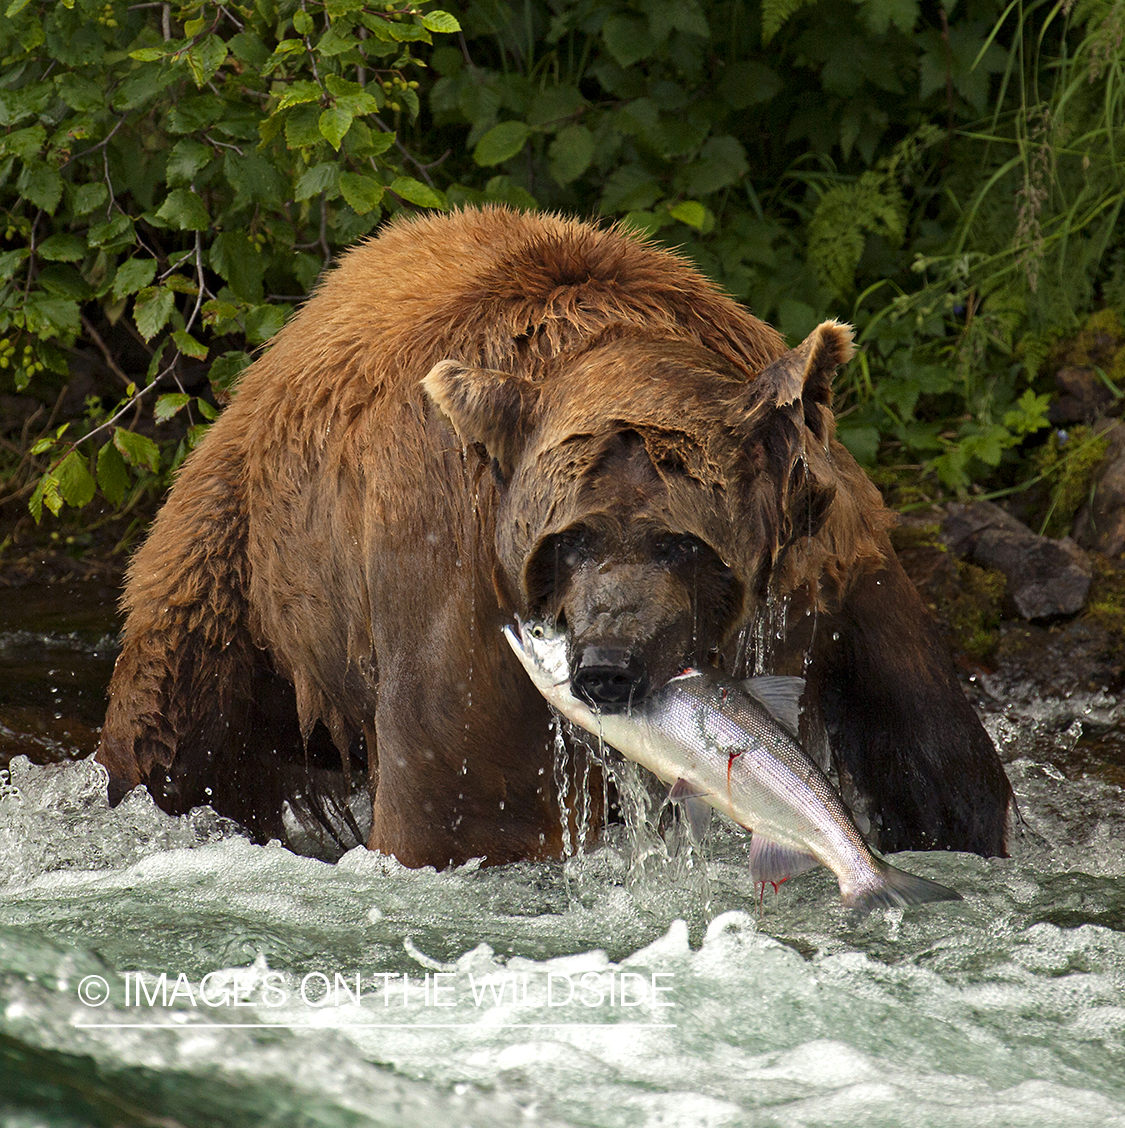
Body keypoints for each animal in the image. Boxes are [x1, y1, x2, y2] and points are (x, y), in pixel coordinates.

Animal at [94, 209, 1011, 861]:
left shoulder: (840, 571)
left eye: (682, 544)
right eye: (569, 540)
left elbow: (944, 775)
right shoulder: (459, 582)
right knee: (177, 731)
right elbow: (461, 809)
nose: (606, 666)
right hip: (247, 558)